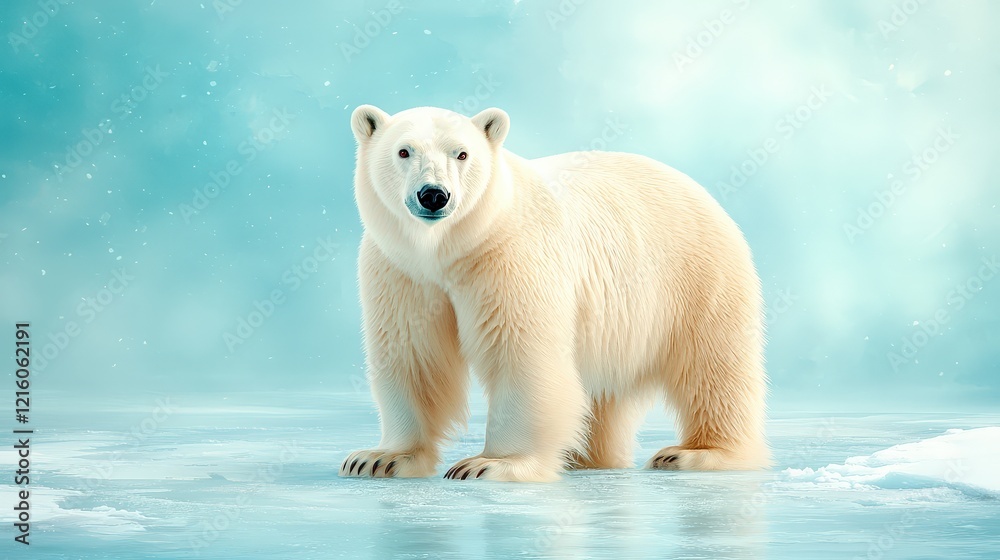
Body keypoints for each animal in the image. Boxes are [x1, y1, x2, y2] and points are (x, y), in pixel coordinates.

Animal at [340, 105, 769, 482]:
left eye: (461, 154)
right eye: (403, 151)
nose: (433, 195)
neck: (450, 248)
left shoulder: (509, 256)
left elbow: (520, 353)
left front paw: (491, 464)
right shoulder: (402, 271)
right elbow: (413, 355)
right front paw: (380, 458)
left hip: (696, 275)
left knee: (713, 364)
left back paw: (694, 453)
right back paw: (586, 457)